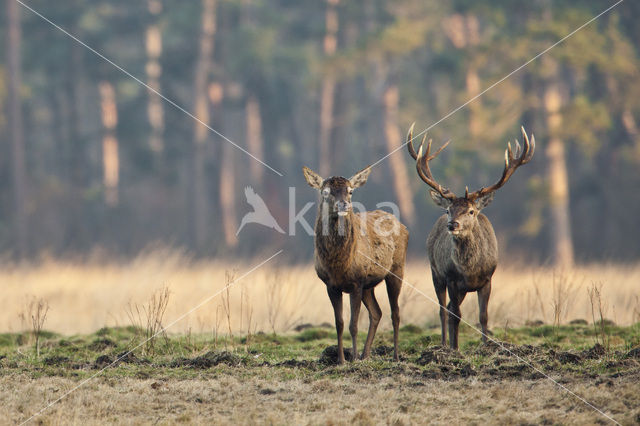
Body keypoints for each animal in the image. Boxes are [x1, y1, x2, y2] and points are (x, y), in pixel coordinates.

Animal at [410, 124, 536, 350]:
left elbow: (483, 315)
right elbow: (455, 315)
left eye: (471, 211)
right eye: (448, 210)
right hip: (435, 272)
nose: (453, 224)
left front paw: (485, 345)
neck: (470, 271)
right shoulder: (451, 278)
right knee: (443, 309)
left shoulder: (487, 279)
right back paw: (444, 344)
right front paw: (455, 348)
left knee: (449, 307)